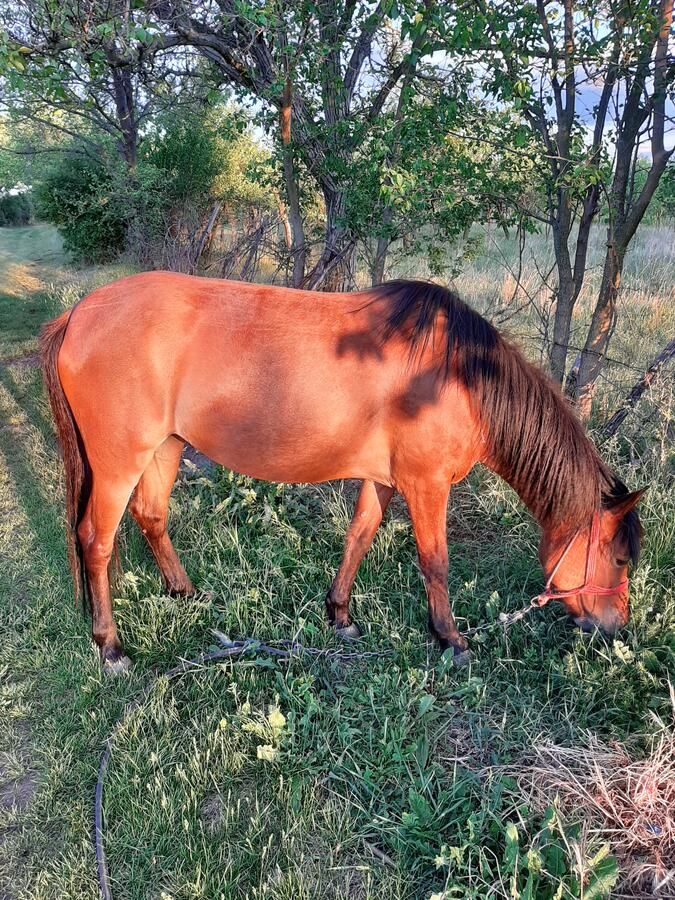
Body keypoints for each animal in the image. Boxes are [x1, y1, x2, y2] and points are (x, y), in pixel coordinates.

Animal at [41, 272, 644, 668]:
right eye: (619, 557)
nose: (615, 627)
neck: (459, 376)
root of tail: (79, 314)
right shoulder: (426, 485)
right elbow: (436, 563)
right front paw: (450, 640)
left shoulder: (383, 480)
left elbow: (358, 538)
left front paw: (340, 615)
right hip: (119, 462)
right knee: (96, 541)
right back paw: (110, 645)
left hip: (165, 447)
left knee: (152, 516)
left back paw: (186, 593)